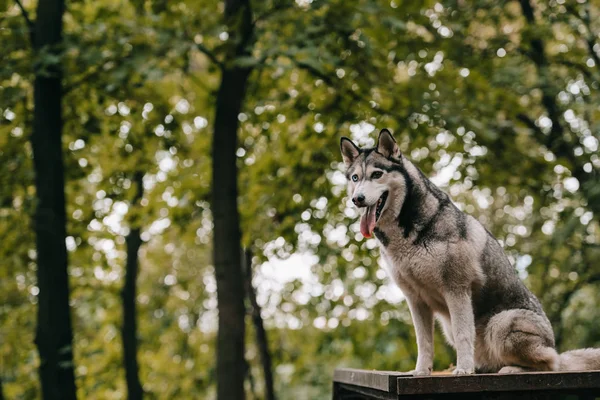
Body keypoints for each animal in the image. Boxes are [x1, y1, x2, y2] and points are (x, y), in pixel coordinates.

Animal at [340, 129, 596, 376]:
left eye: (376, 174)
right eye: (355, 178)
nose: (357, 199)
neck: (408, 233)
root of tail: (553, 344)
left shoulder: (456, 290)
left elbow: (464, 334)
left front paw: (463, 370)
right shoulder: (415, 300)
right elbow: (424, 342)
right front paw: (421, 371)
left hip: (502, 323)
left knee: (551, 363)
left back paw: (509, 368)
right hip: (451, 328)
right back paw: (483, 367)